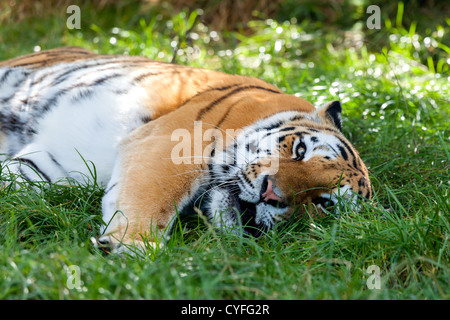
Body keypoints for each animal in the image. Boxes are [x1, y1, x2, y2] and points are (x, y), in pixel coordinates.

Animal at [0, 46, 372, 254]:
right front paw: (134, 246)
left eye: (324, 203)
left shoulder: (56, 167)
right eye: (299, 149)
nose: (270, 194)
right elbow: (153, 198)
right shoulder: (168, 145)